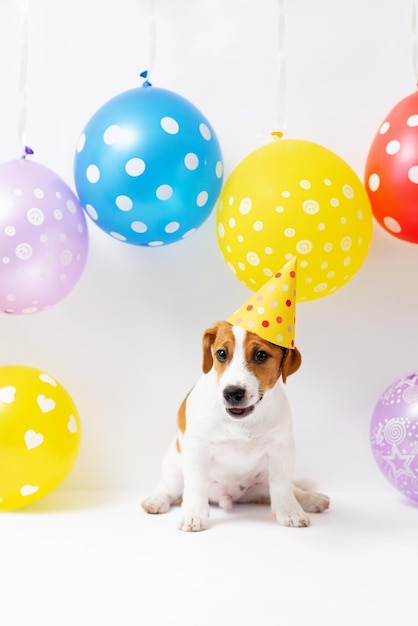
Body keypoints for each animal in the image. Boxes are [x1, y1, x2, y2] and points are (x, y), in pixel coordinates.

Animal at [142, 320, 328, 528]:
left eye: (261, 355)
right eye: (221, 353)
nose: (232, 393)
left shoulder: (281, 449)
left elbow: (282, 486)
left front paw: (289, 511)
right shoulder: (198, 449)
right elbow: (196, 486)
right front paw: (193, 515)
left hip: (263, 480)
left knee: (288, 488)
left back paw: (311, 499)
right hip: (174, 471)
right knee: (167, 488)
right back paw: (155, 500)